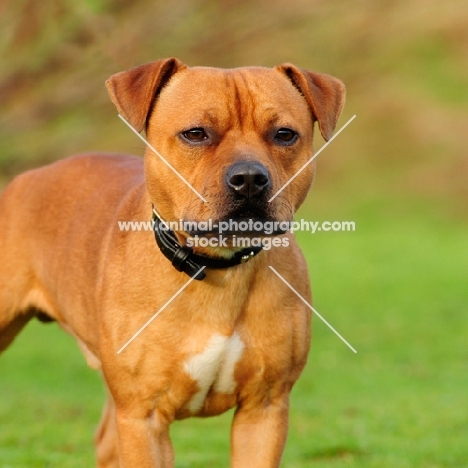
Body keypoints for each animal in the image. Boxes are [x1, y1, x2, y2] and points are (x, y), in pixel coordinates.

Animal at [0, 56, 344, 466]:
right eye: (195, 134)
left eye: (285, 135)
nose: (249, 178)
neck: (216, 267)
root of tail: (24, 179)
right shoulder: (143, 417)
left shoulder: (264, 410)